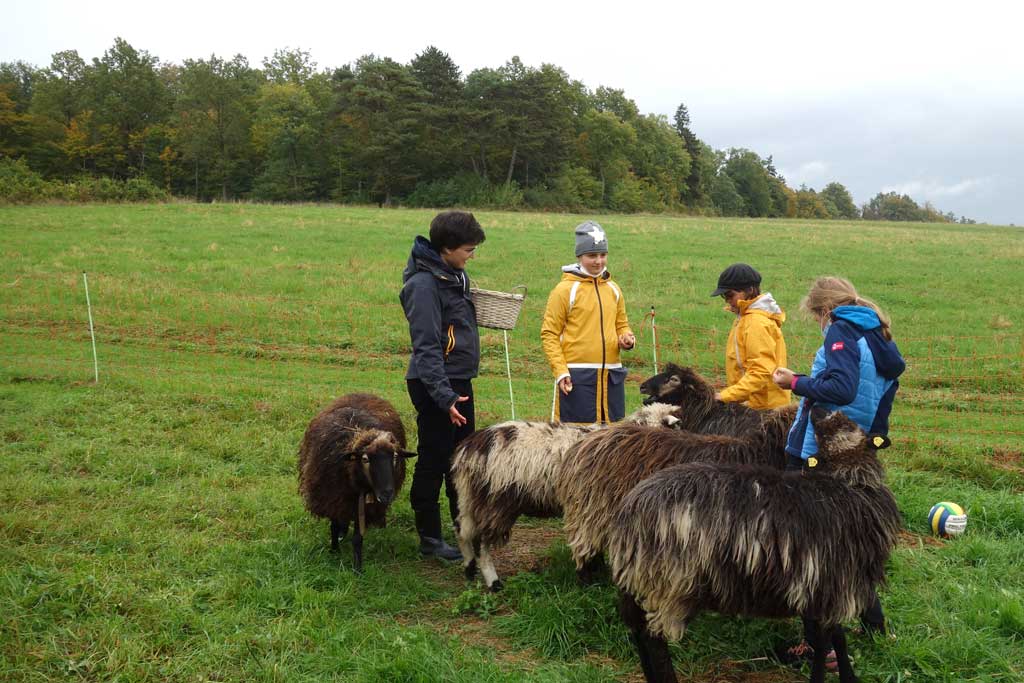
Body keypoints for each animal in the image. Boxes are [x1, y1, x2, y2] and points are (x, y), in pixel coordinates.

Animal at [297, 393, 416, 572]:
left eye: (395, 457)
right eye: (365, 459)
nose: (387, 494)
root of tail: (363, 393)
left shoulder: (364, 505)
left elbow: (358, 538)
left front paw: (357, 568)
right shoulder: (334, 499)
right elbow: (333, 526)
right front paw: (334, 551)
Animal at [453, 402, 682, 591]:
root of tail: (469, 449)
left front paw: (598, 569)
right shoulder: (589, 507)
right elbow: (587, 542)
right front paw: (588, 579)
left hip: (470, 498)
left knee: (462, 530)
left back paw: (469, 569)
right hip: (494, 502)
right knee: (480, 542)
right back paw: (493, 582)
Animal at [608, 407, 901, 683]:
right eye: (825, 429)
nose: (816, 410)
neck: (851, 484)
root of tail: (629, 511)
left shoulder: (820, 589)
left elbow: (834, 638)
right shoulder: (831, 585)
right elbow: (826, 642)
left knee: (639, 632)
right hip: (669, 583)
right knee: (652, 639)